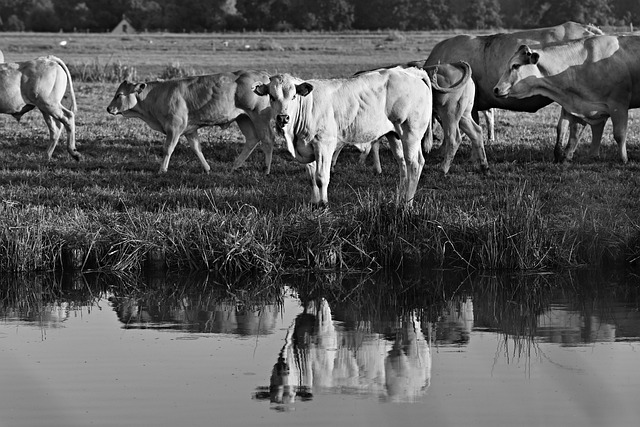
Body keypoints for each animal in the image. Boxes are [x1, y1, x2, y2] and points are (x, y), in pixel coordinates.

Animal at [105, 70, 276, 174]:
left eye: (119, 95)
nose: (108, 108)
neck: (157, 95)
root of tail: (262, 75)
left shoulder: (174, 128)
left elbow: (168, 149)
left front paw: (162, 169)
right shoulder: (190, 130)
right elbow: (197, 149)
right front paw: (207, 168)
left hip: (259, 117)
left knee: (267, 140)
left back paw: (266, 169)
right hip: (243, 118)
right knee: (252, 139)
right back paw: (234, 166)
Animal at [252, 67, 432, 206]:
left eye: (294, 96)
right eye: (272, 97)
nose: (283, 118)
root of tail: (410, 71)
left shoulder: (324, 144)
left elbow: (321, 177)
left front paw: (323, 204)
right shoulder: (306, 146)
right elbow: (311, 177)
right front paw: (314, 202)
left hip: (411, 133)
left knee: (414, 164)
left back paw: (408, 204)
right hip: (395, 135)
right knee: (403, 164)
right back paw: (401, 197)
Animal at [332, 59, 488, 175]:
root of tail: (454, 65)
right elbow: (374, 144)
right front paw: (375, 167)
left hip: (449, 115)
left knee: (454, 138)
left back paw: (443, 169)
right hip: (463, 116)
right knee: (476, 132)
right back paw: (483, 165)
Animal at [492, 35, 640, 165]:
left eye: (515, 65)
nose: (496, 89)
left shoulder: (618, 104)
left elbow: (619, 134)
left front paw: (624, 160)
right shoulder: (580, 106)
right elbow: (568, 132)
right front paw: (567, 157)